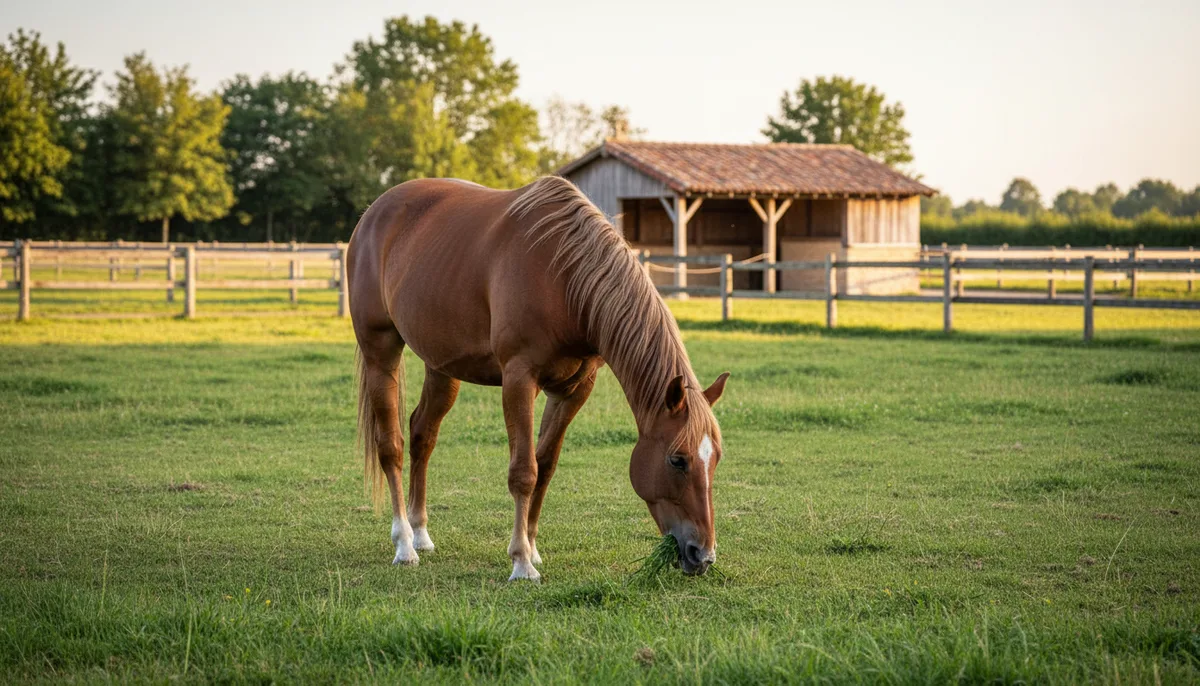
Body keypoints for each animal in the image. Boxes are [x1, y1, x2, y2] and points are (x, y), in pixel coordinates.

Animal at [347, 176, 729, 581]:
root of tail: (373, 214)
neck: (564, 277)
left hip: (441, 367)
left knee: (423, 434)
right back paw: (404, 544)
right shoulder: (519, 379)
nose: (703, 555)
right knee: (392, 445)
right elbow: (523, 471)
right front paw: (521, 562)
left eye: (716, 458)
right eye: (677, 460)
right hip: (380, 352)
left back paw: (421, 533)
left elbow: (544, 467)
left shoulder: (573, 390)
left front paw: (532, 547)